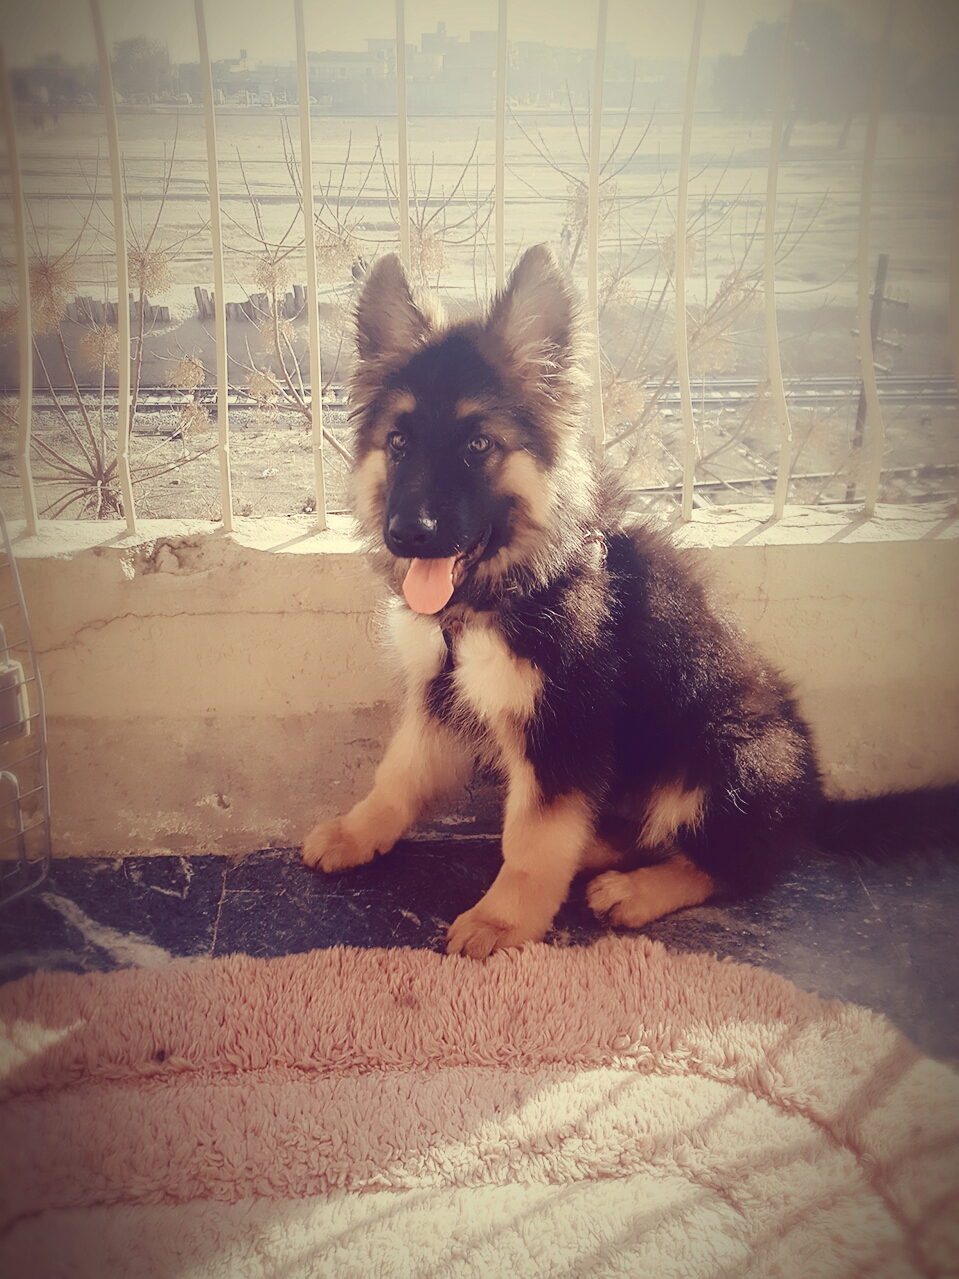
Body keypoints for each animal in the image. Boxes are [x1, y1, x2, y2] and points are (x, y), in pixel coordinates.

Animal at [302, 244, 956, 959]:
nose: (406, 533)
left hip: (728, 754)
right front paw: (356, 832)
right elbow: (397, 776)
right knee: (650, 833)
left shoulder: (565, 726)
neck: (508, 589)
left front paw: (504, 920)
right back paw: (598, 852)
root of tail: (811, 806)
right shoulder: (439, 697)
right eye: (398, 443)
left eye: (478, 446)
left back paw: (637, 890)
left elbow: (532, 838)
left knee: (736, 865)